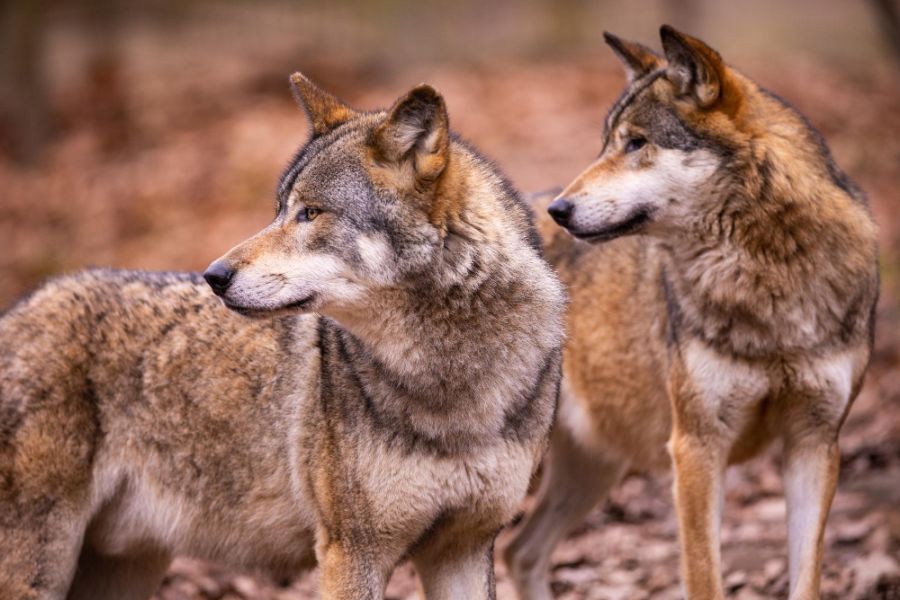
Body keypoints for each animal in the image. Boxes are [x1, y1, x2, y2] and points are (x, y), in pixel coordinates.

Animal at [0, 72, 564, 596]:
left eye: (310, 213)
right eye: (278, 210)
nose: (214, 275)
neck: (453, 378)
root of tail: (18, 309)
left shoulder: (464, 548)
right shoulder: (351, 552)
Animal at [506, 24, 880, 600]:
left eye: (636, 143)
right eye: (606, 141)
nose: (559, 210)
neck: (764, 274)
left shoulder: (815, 443)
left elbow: (807, 578)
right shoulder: (697, 448)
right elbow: (705, 576)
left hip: (594, 468)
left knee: (520, 551)